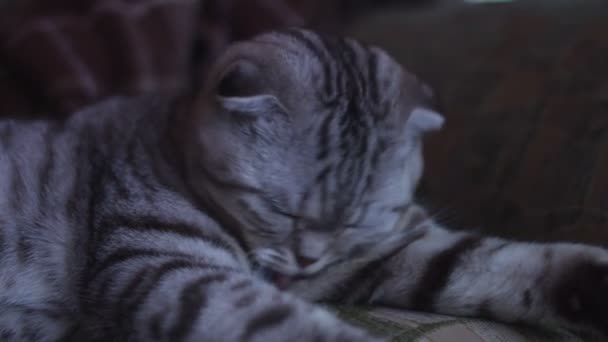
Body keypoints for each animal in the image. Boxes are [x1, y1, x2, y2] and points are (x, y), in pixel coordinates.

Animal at [1, 28, 608, 340]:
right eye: (280, 209)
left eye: (358, 222)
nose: (308, 259)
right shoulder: (165, 264)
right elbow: (278, 321)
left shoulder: (385, 250)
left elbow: (487, 261)